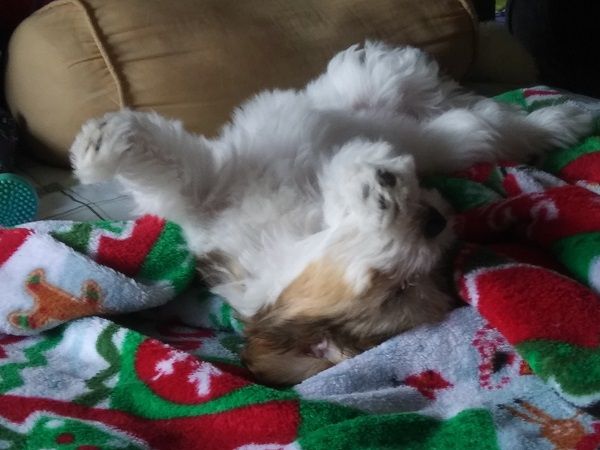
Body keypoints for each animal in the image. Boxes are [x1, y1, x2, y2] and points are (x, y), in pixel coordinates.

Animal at [69, 42, 592, 384]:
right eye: (398, 288)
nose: (437, 222)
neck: (305, 228)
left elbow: (343, 175)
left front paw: (367, 181)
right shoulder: (211, 195)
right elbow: (171, 168)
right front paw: (100, 146)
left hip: (456, 135)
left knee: (490, 122)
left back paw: (560, 118)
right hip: (409, 108)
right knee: (441, 100)